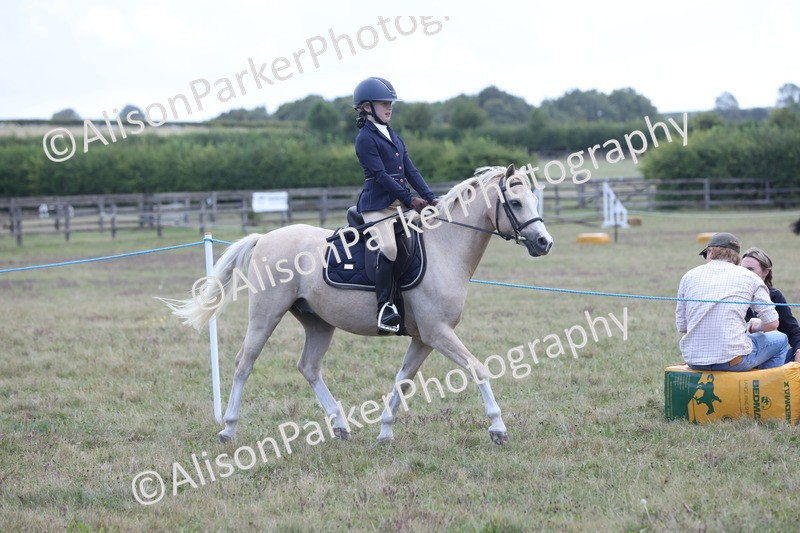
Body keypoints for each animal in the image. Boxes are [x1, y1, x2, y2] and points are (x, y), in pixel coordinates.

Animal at [161, 164, 553, 445]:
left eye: (534, 200)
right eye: (515, 202)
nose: (544, 243)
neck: (445, 246)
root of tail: (265, 238)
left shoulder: (423, 338)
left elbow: (403, 380)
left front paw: (384, 431)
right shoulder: (438, 333)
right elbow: (478, 368)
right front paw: (498, 427)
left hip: (318, 322)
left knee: (308, 367)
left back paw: (339, 425)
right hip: (265, 315)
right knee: (244, 363)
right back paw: (228, 429)